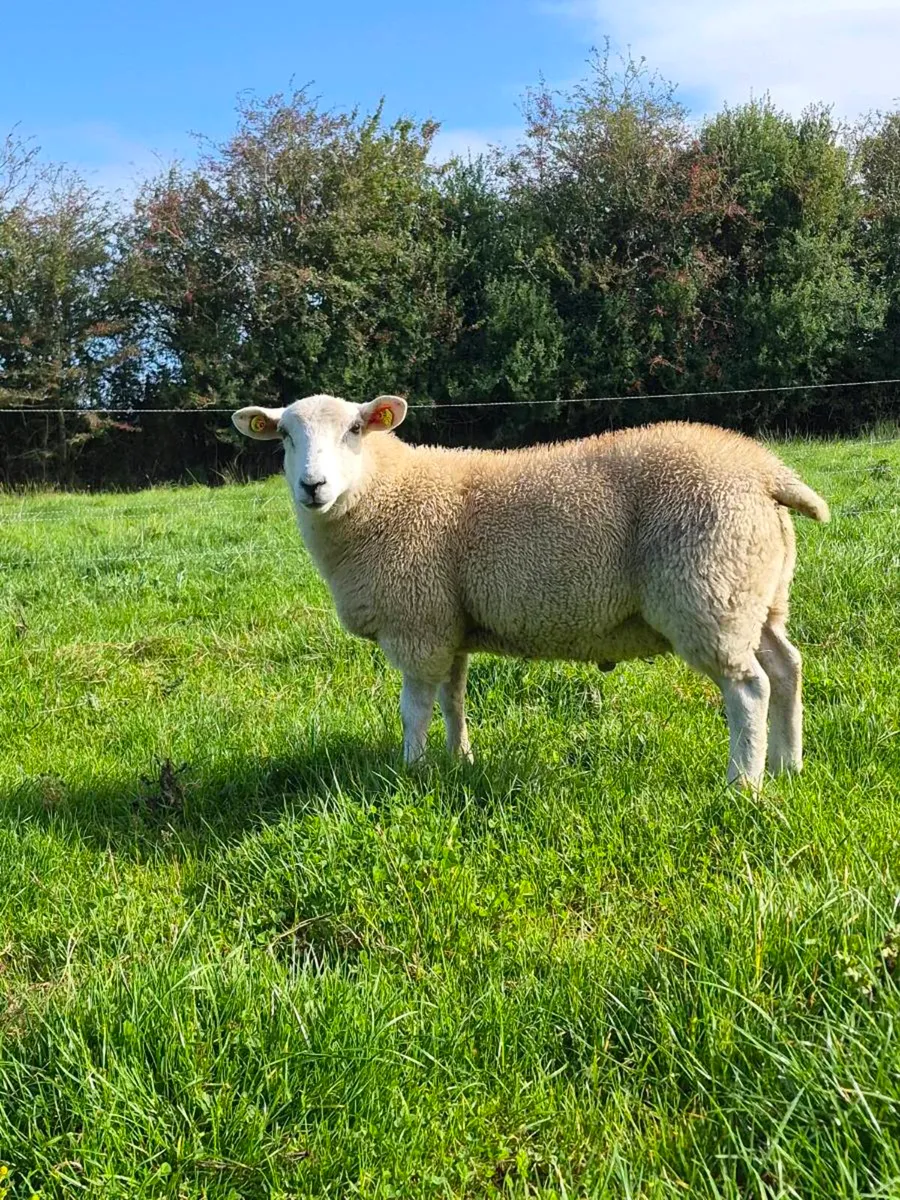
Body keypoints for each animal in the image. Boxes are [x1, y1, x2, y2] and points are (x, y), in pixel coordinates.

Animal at [232, 393, 829, 789]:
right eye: (284, 435)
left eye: (356, 430)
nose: (313, 486)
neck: (383, 495)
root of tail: (764, 471)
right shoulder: (450, 625)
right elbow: (453, 699)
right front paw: (460, 761)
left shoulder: (417, 624)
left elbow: (415, 708)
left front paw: (411, 770)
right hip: (757, 593)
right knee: (786, 667)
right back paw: (788, 766)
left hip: (708, 593)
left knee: (748, 688)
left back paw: (744, 785)